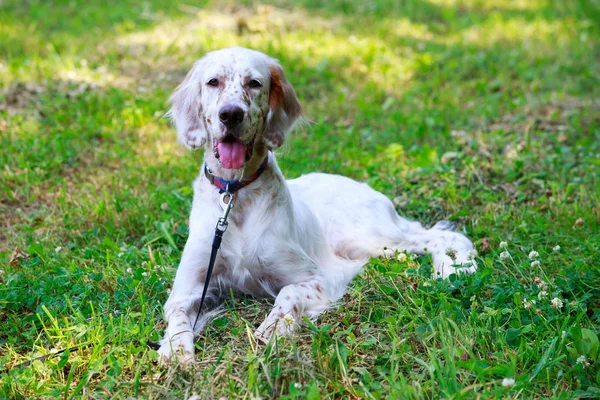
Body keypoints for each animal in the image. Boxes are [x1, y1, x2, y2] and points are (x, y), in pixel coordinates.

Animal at [159, 46, 478, 362]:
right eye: (213, 82)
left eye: (254, 83)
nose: (231, 114)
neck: (235, 197)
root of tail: (363, 186)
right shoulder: (188, 288)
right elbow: (176, 315)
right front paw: (175, 351)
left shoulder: (317, 277)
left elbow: (288, 294)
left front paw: (274, 328)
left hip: (370, 239)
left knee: (444, 238)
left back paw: (450, 270)